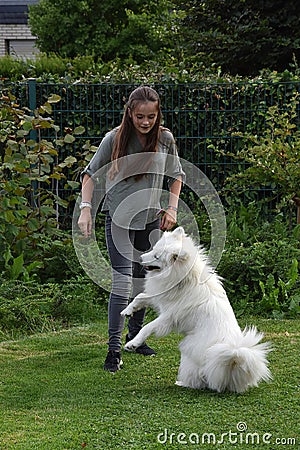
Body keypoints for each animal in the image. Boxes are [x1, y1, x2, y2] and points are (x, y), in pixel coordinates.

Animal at [120, 227, 270, 392]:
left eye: (156, 256)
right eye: (153, 249)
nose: (140, 257)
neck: (185, 279)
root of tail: (233, 363)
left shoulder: (168, 318)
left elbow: (147, 327)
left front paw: (133, 343)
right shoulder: (160, 297)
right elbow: (140, 297)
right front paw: (128, 310)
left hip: (190, 357)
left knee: (200, 379)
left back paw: (184, 383)